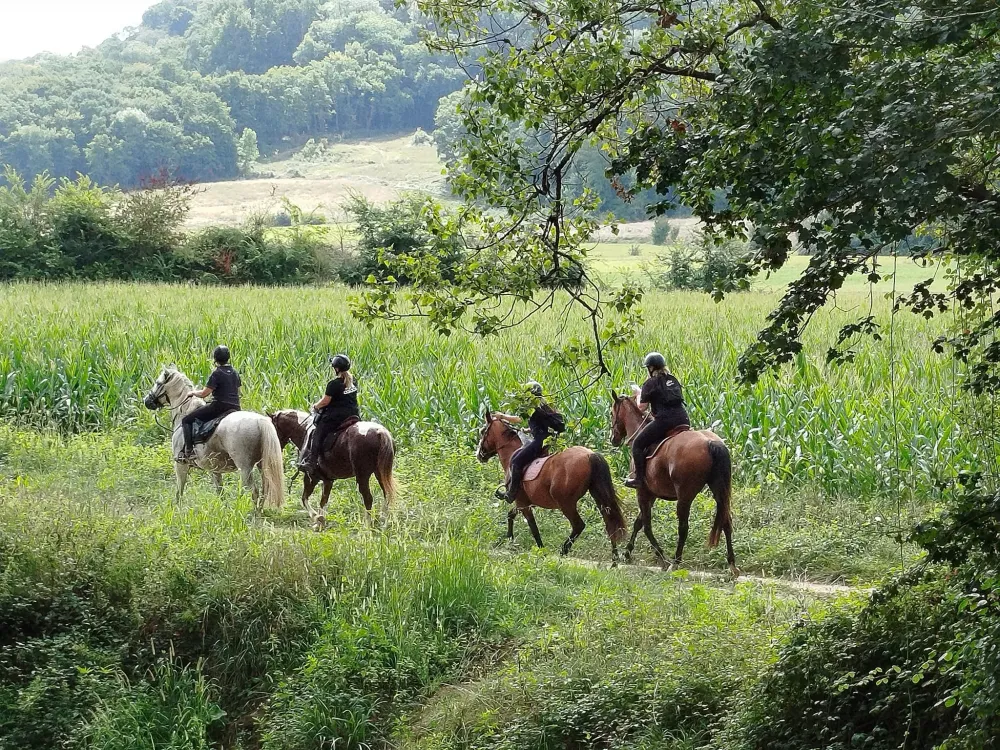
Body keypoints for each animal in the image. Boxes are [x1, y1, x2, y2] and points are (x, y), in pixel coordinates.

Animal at [143, 367, 285, 510]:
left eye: (158, 383)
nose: (147, 401)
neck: (185, 410)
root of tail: (260, 421)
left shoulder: (180, 464)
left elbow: (179, 490)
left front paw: (177, 509)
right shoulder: (214, 469)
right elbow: (220, 491)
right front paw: (224, 509)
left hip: (245, 468)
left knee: (253, 491)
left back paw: (254, 513)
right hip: (262, 465)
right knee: (264, 490)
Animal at [269, 409, 397, 529]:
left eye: (273, 428)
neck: (304, 430)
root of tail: (380, 432)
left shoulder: (311, 477)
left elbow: (305, 498)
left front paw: (317, 518)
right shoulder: (328, 480)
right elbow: (323, 501)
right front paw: (320, 522)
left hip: (362, 476)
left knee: (368, 498)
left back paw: (367, 526)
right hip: (380, 473)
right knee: (387, 494)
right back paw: (383, 523)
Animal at [476, 411, 626, 563]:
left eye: (483, 431)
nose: (479, 455)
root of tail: (590, 454)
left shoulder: (522, 503)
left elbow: (533, 527)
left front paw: (540, 550)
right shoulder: (524, 503)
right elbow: (511, 514)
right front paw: (509, 539)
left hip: (566, 503)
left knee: (579, 525)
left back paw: (563, 552)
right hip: (597, 495)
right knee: (609, 522)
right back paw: (614, 559)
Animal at [609, 391, 738, 576]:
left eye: (611, 413)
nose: (613, 439)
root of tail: (710, 442)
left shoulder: (642, 492)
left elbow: (646, 526)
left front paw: (662, 558)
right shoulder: (651, 494)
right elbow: (638, 523)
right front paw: (627, 553)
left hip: (685, 495)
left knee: (683, 528)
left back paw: (675, 562)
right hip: (719, 491)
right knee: (726, 522)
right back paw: (732, 565)